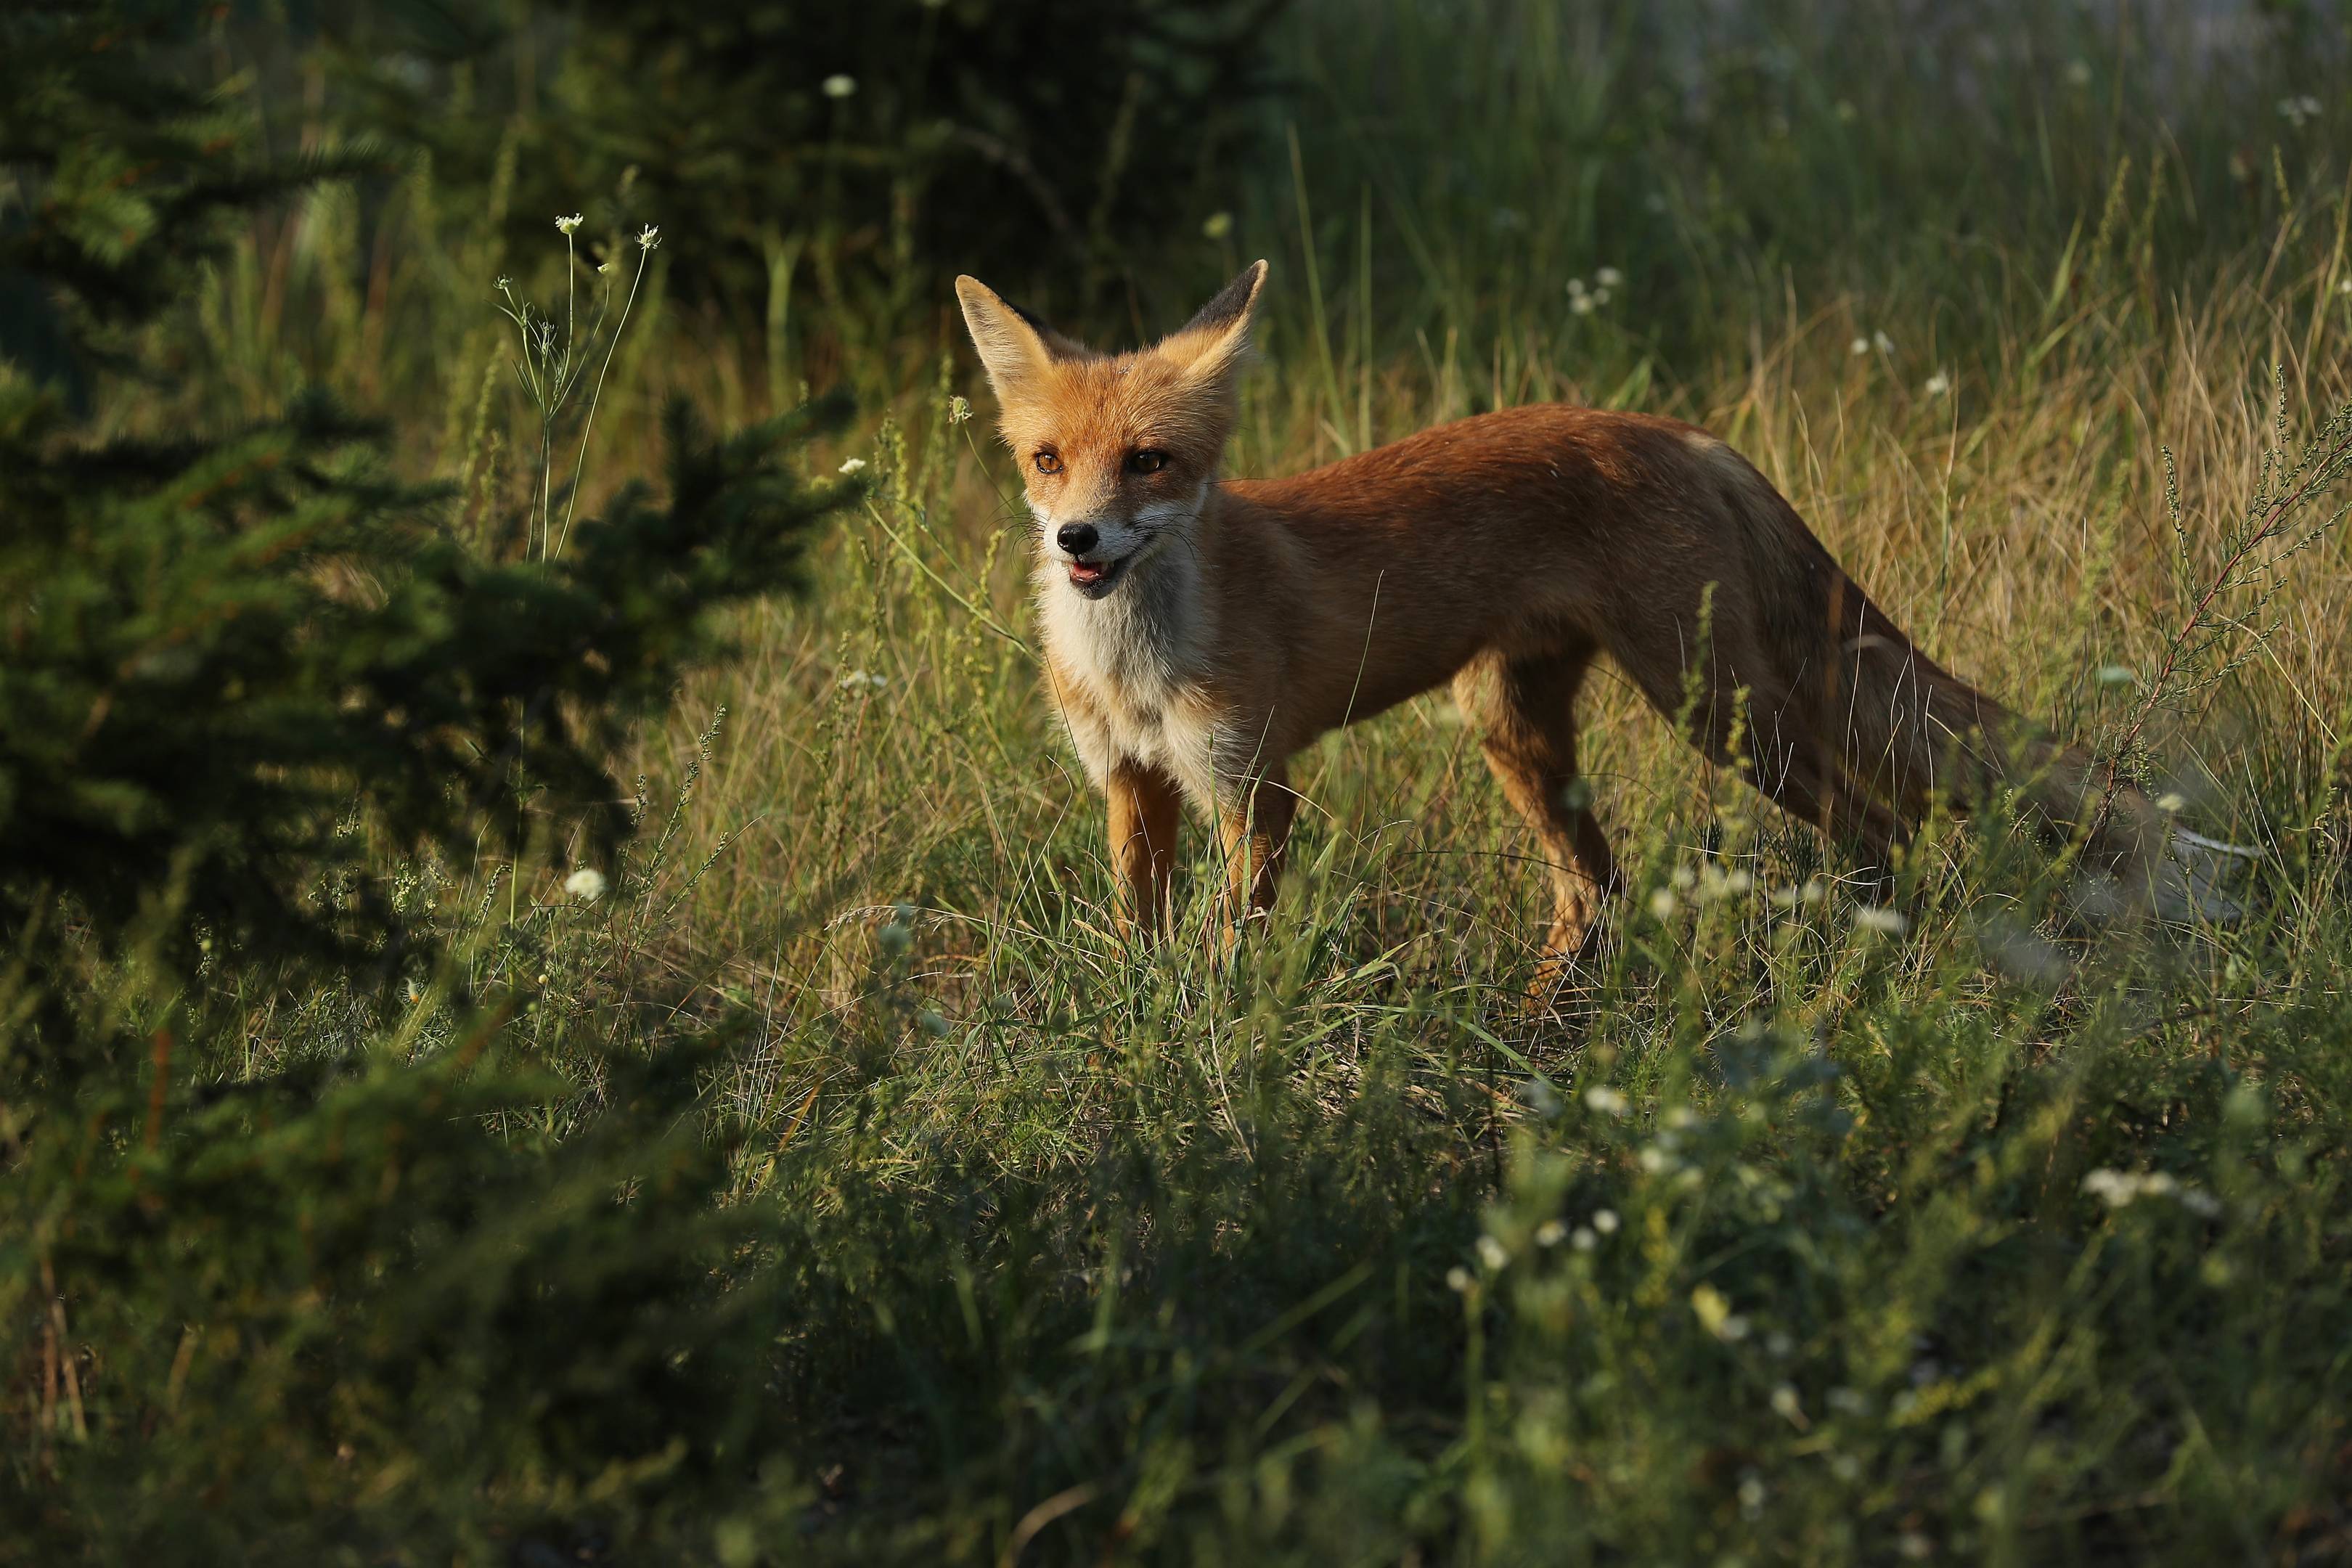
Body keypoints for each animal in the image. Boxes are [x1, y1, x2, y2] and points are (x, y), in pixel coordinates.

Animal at [950, 261, 2239, 959]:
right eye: (1048, 461)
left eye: (1151, 464)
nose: (1077, 541)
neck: (1136, 671)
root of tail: (1677, 430)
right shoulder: (1130, 781)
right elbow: (1139, 934)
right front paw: (1142, 1025)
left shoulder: (1250, 784)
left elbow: (1228, 945)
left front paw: (1211, 1031)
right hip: (1516, 730)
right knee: (1595, 893)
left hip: (1722, 714)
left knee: (1889, 823)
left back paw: (1864, 959)